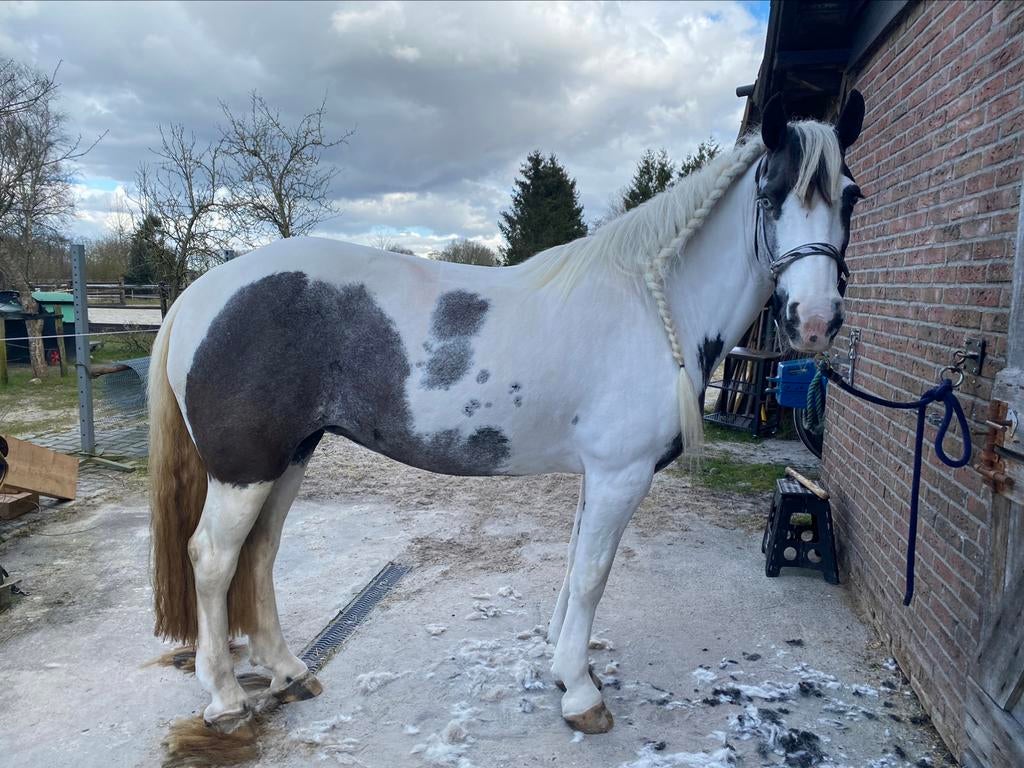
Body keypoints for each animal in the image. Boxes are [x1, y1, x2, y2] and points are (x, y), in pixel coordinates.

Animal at [148, 91, 865, 736]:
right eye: (771, 194)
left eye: (850, 196)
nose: (815, 321)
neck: (651, 303)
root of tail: (199, 294)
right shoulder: (621, 475)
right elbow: (592, 576)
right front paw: (581, 694)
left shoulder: (599, 476)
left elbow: (576, 565)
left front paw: (565, 667)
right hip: (246, 468)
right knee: (213, 559)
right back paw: (225, 699)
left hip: (291, 456)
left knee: (261, 554)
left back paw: (289, 671)